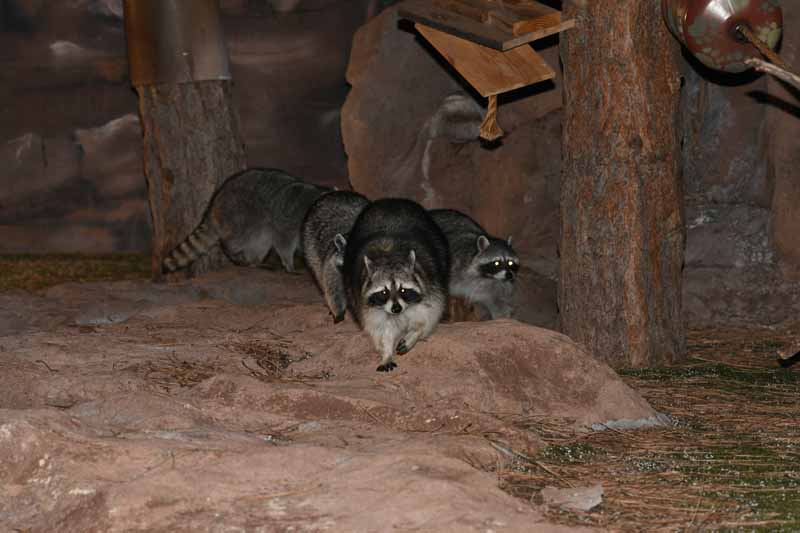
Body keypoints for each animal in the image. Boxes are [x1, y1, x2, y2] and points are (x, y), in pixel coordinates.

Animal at [163, 168, 329, 273]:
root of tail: (215, 202)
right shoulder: (289, 221)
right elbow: (284, 243)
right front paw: (289, 263)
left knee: (262, 240)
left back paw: (255, 261)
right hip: (241, 213)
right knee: (240, 237)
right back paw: (230, 249)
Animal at [343, 198, 449, 372]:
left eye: (403, 290)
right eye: (384, 292)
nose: (396, 308)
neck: (389, 255)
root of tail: (391, 200)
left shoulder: (431, 282)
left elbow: (428, 316)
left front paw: (415, 333)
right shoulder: (362, 297)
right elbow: (379, 327)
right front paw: (386, 352)